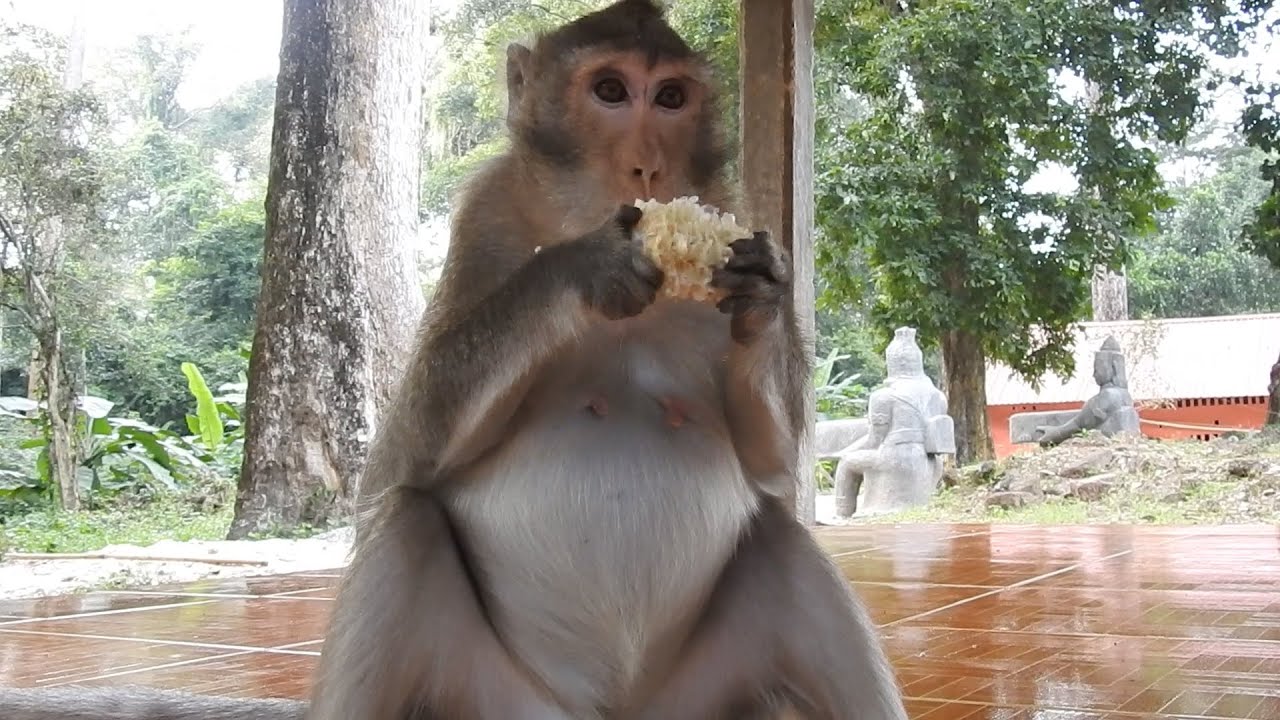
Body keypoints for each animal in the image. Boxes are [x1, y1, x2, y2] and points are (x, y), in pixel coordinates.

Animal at [0, 2, 907, 718]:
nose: (648, 162)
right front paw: (579, 268)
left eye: (673, 97)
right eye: (612, 91)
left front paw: (762, 298)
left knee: (780, 537)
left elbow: (773, 467)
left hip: (697, 702)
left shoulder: (736, 207)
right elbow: (399, 462)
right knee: (405, 528)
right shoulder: (485, 214)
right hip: (487, 698)